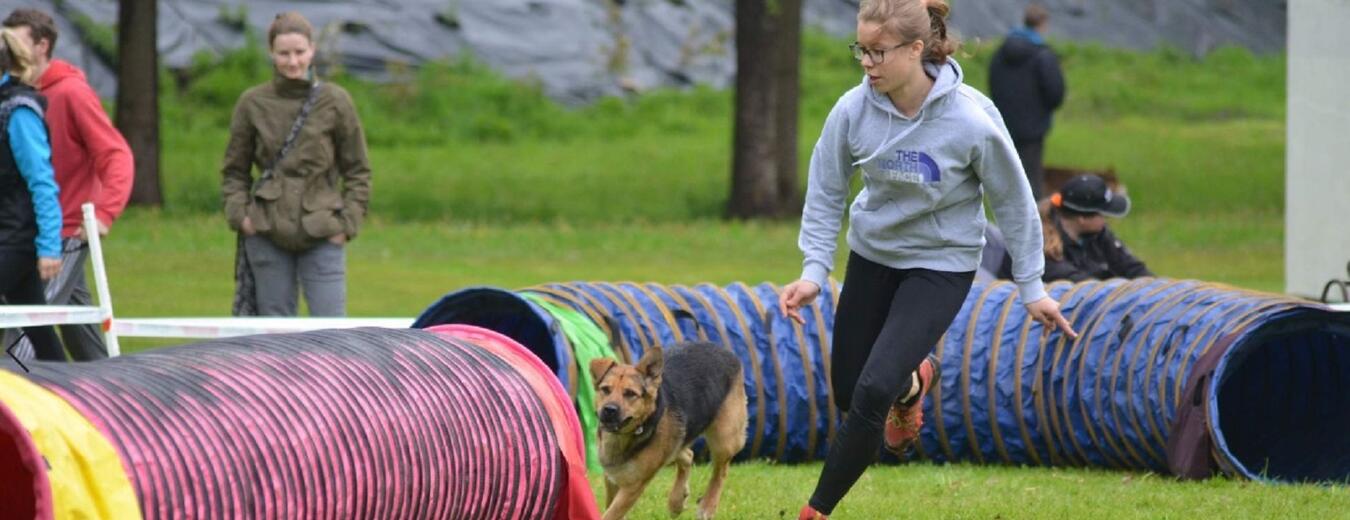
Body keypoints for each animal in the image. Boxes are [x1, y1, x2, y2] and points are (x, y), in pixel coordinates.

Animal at [594, 343, 756, 515]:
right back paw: (677, 501)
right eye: (605, 389)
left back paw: (707, 506)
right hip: (678, 437)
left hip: (724, 440)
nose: (609, 410)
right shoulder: (612, 478)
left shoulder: (633, 486)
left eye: (630, 394)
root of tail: (723, 349)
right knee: (688, 455)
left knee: (721, 471)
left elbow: (610, 514)